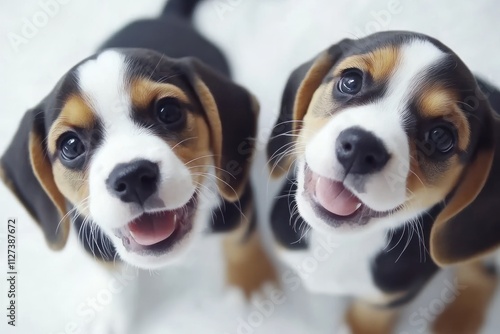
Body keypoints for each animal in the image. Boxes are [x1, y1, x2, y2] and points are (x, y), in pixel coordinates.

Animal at [0, 0, 276, 292]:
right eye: (71, 146)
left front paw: (257, 287)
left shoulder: (240, 207)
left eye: (169, 111)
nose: (132, 177)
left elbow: (242, 247)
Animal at [270, 30, 500, 332]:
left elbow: (363, 323)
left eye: (441, 137)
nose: (361, 147)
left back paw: (457, 319)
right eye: (351, 81)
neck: (342, 243)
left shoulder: (383, 303)